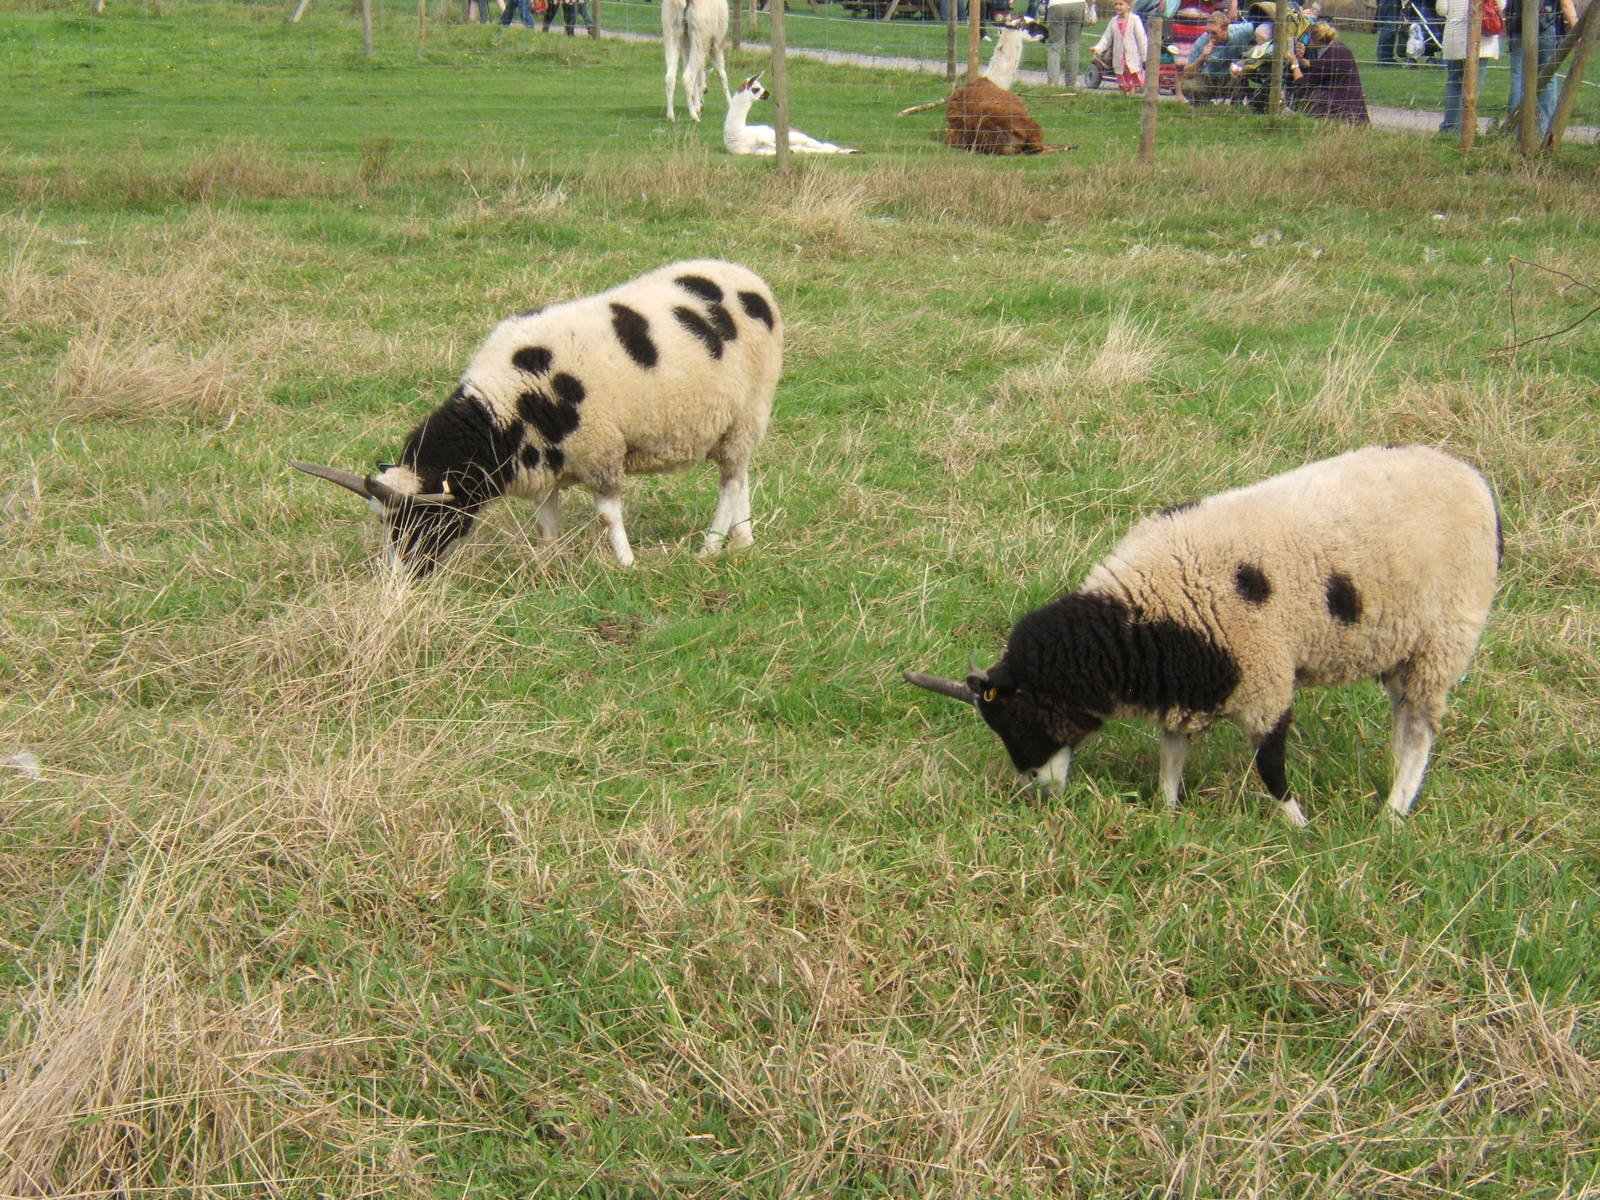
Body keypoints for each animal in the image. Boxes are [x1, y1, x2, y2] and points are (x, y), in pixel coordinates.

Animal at [292, 259, 783, 579]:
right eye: (385, 526)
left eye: (425, 521)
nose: (400, 581)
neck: (502, 412)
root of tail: (748, 278)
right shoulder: (546, 462)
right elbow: (546, 520)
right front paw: (549, 560)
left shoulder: (601, 448)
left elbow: (608, 515)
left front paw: (626, 563)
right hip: (739, 421)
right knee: (741, 474)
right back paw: (744, 539)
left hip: (748, 409)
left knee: (730, 482)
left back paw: (711, 546)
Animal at [724, 73, 861, 156]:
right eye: (756, 88)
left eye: (760, 86)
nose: (767, 94)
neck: (739, 133)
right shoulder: (751, 151)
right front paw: (790, 150)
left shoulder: (764, 137)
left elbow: (766, 141)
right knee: (818, 148)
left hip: (797, 136)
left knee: (822, 145)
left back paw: (852, 150)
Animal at [905, 446, 1501, 826]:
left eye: (1021, 716)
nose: (1039, 791)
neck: (1149, 613)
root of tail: (1471, 477)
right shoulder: (1187, 686)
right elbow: (1171, 756)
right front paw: (1168, 814)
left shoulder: (1264, 682)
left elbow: (1270, 766)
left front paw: (1299, 826)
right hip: (1404, 649)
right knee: (1407, 725)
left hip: (1445, 638)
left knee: (1418, 732)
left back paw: (1392, 815)